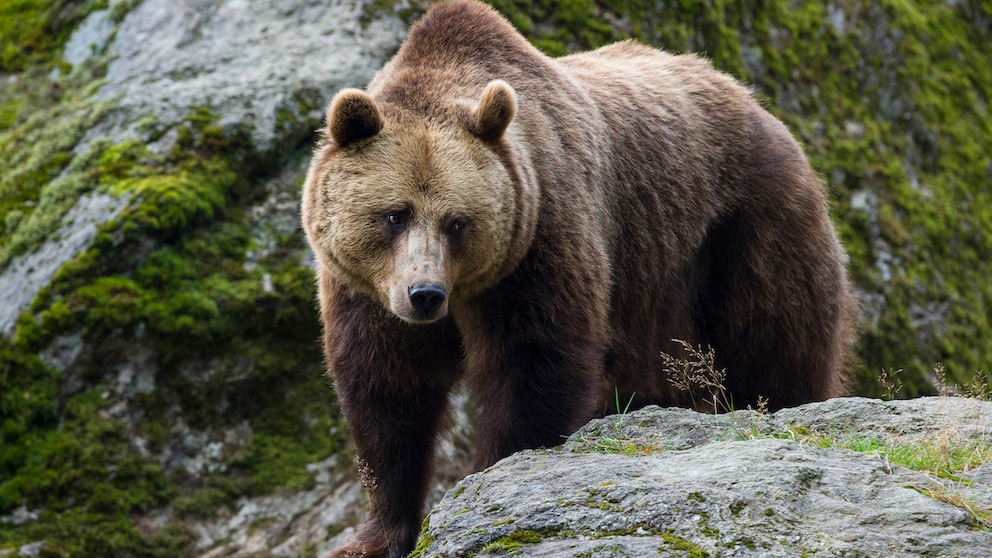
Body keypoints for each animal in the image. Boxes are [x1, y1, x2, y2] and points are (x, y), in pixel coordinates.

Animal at [298, 2, 856, 556]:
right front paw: (376, 534)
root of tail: (752, 99)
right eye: (395, 215)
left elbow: (534, 361)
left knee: (776, 341)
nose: (426, 296)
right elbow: (388, 392)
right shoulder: (367, 291)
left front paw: (494, 475)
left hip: (741, 229)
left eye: (458, 222)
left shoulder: (541, 235)